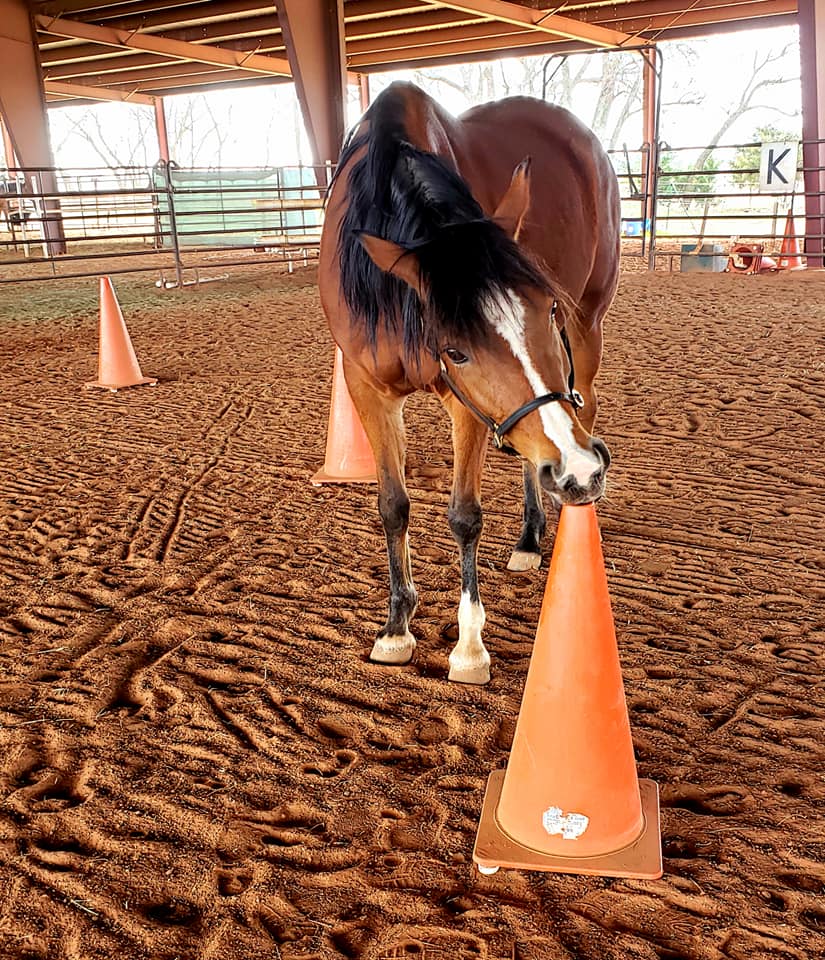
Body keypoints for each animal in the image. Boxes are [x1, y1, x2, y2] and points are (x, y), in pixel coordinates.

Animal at [318, 80, 616, 684]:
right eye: (456, 348)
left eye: (548, 308)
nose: (581, 472)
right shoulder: (367, 388)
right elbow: (393, 504)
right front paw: (396, 627)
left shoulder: (465, 408)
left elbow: (464, 516)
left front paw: (470, 644)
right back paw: (533, 529)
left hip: (588, 326)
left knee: (582, 407)